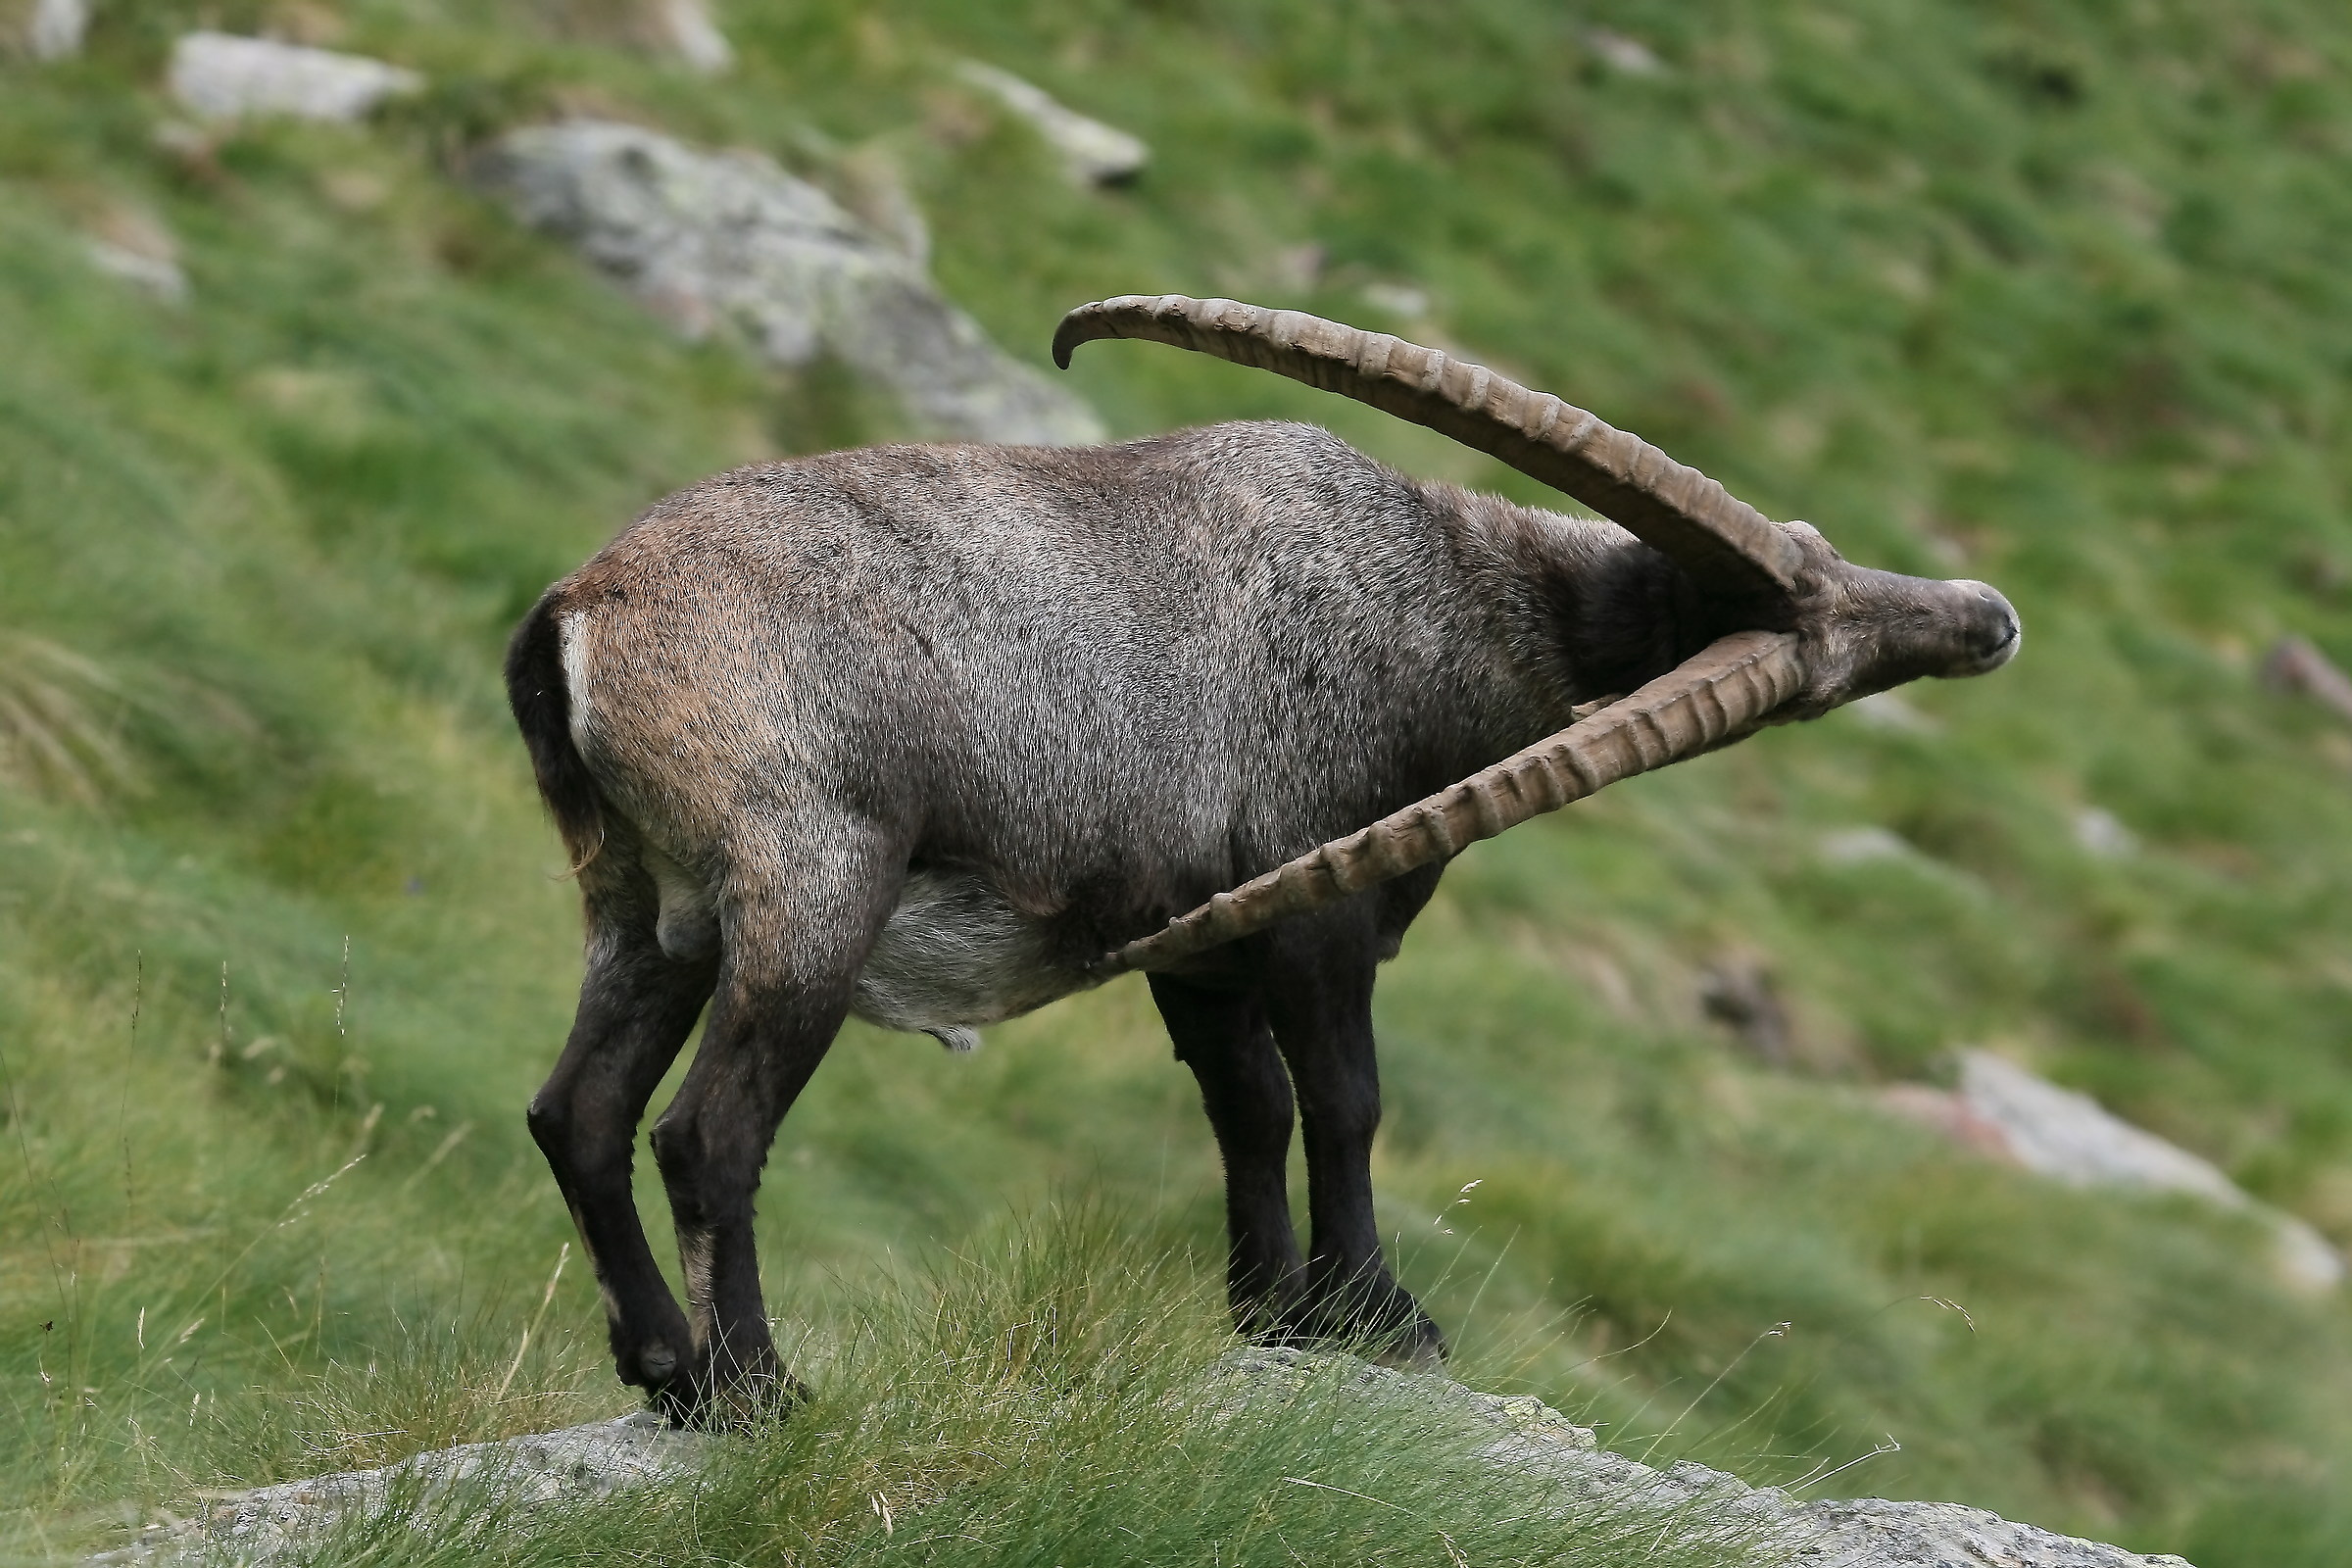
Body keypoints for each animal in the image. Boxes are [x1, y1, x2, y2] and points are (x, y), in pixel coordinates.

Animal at [506, 296, 2020, 1421]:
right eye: (1807, 646)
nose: (1988, 618)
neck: (1432, 603)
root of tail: (576, 617)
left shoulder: (1202, 945)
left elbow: (1250, 1110)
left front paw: (1273, 1315)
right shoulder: (1311, 906)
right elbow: (1344, 1100)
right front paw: (1378, 1316)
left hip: (648, 913)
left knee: (575, 1110)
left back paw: (666, 1372)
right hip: (809, 889)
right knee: (707, 1134)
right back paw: (758, 1394)